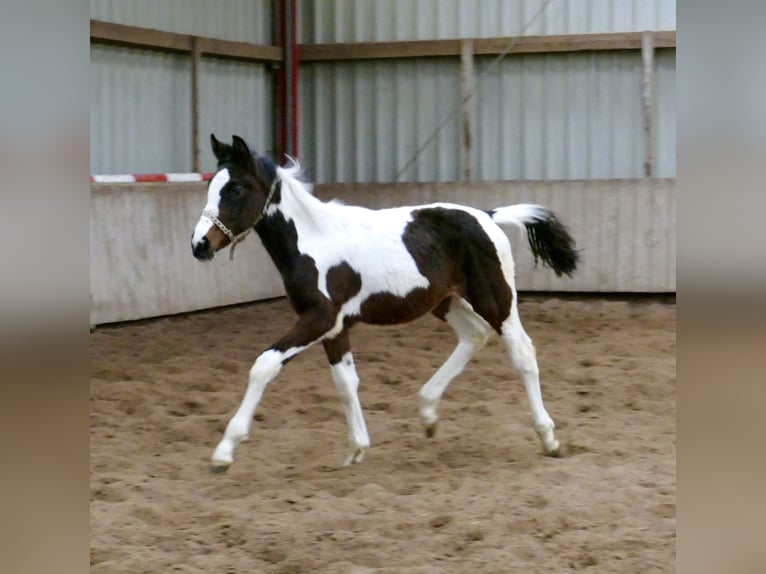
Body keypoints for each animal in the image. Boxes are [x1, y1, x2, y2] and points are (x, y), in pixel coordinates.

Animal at [189, 136, 580, 476]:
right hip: (446, 301)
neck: (313, 240)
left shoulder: (319, 319)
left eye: (235, 189)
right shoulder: (335, 327)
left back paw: (549, 439)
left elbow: (264, 365)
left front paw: (224, 452)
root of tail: (487, 215)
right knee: (475, 335)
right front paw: (356, 449)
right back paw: (428, 413)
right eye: (210, 187)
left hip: (495, 299)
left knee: (522, 352)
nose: (199, 245)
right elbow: (345, 383)